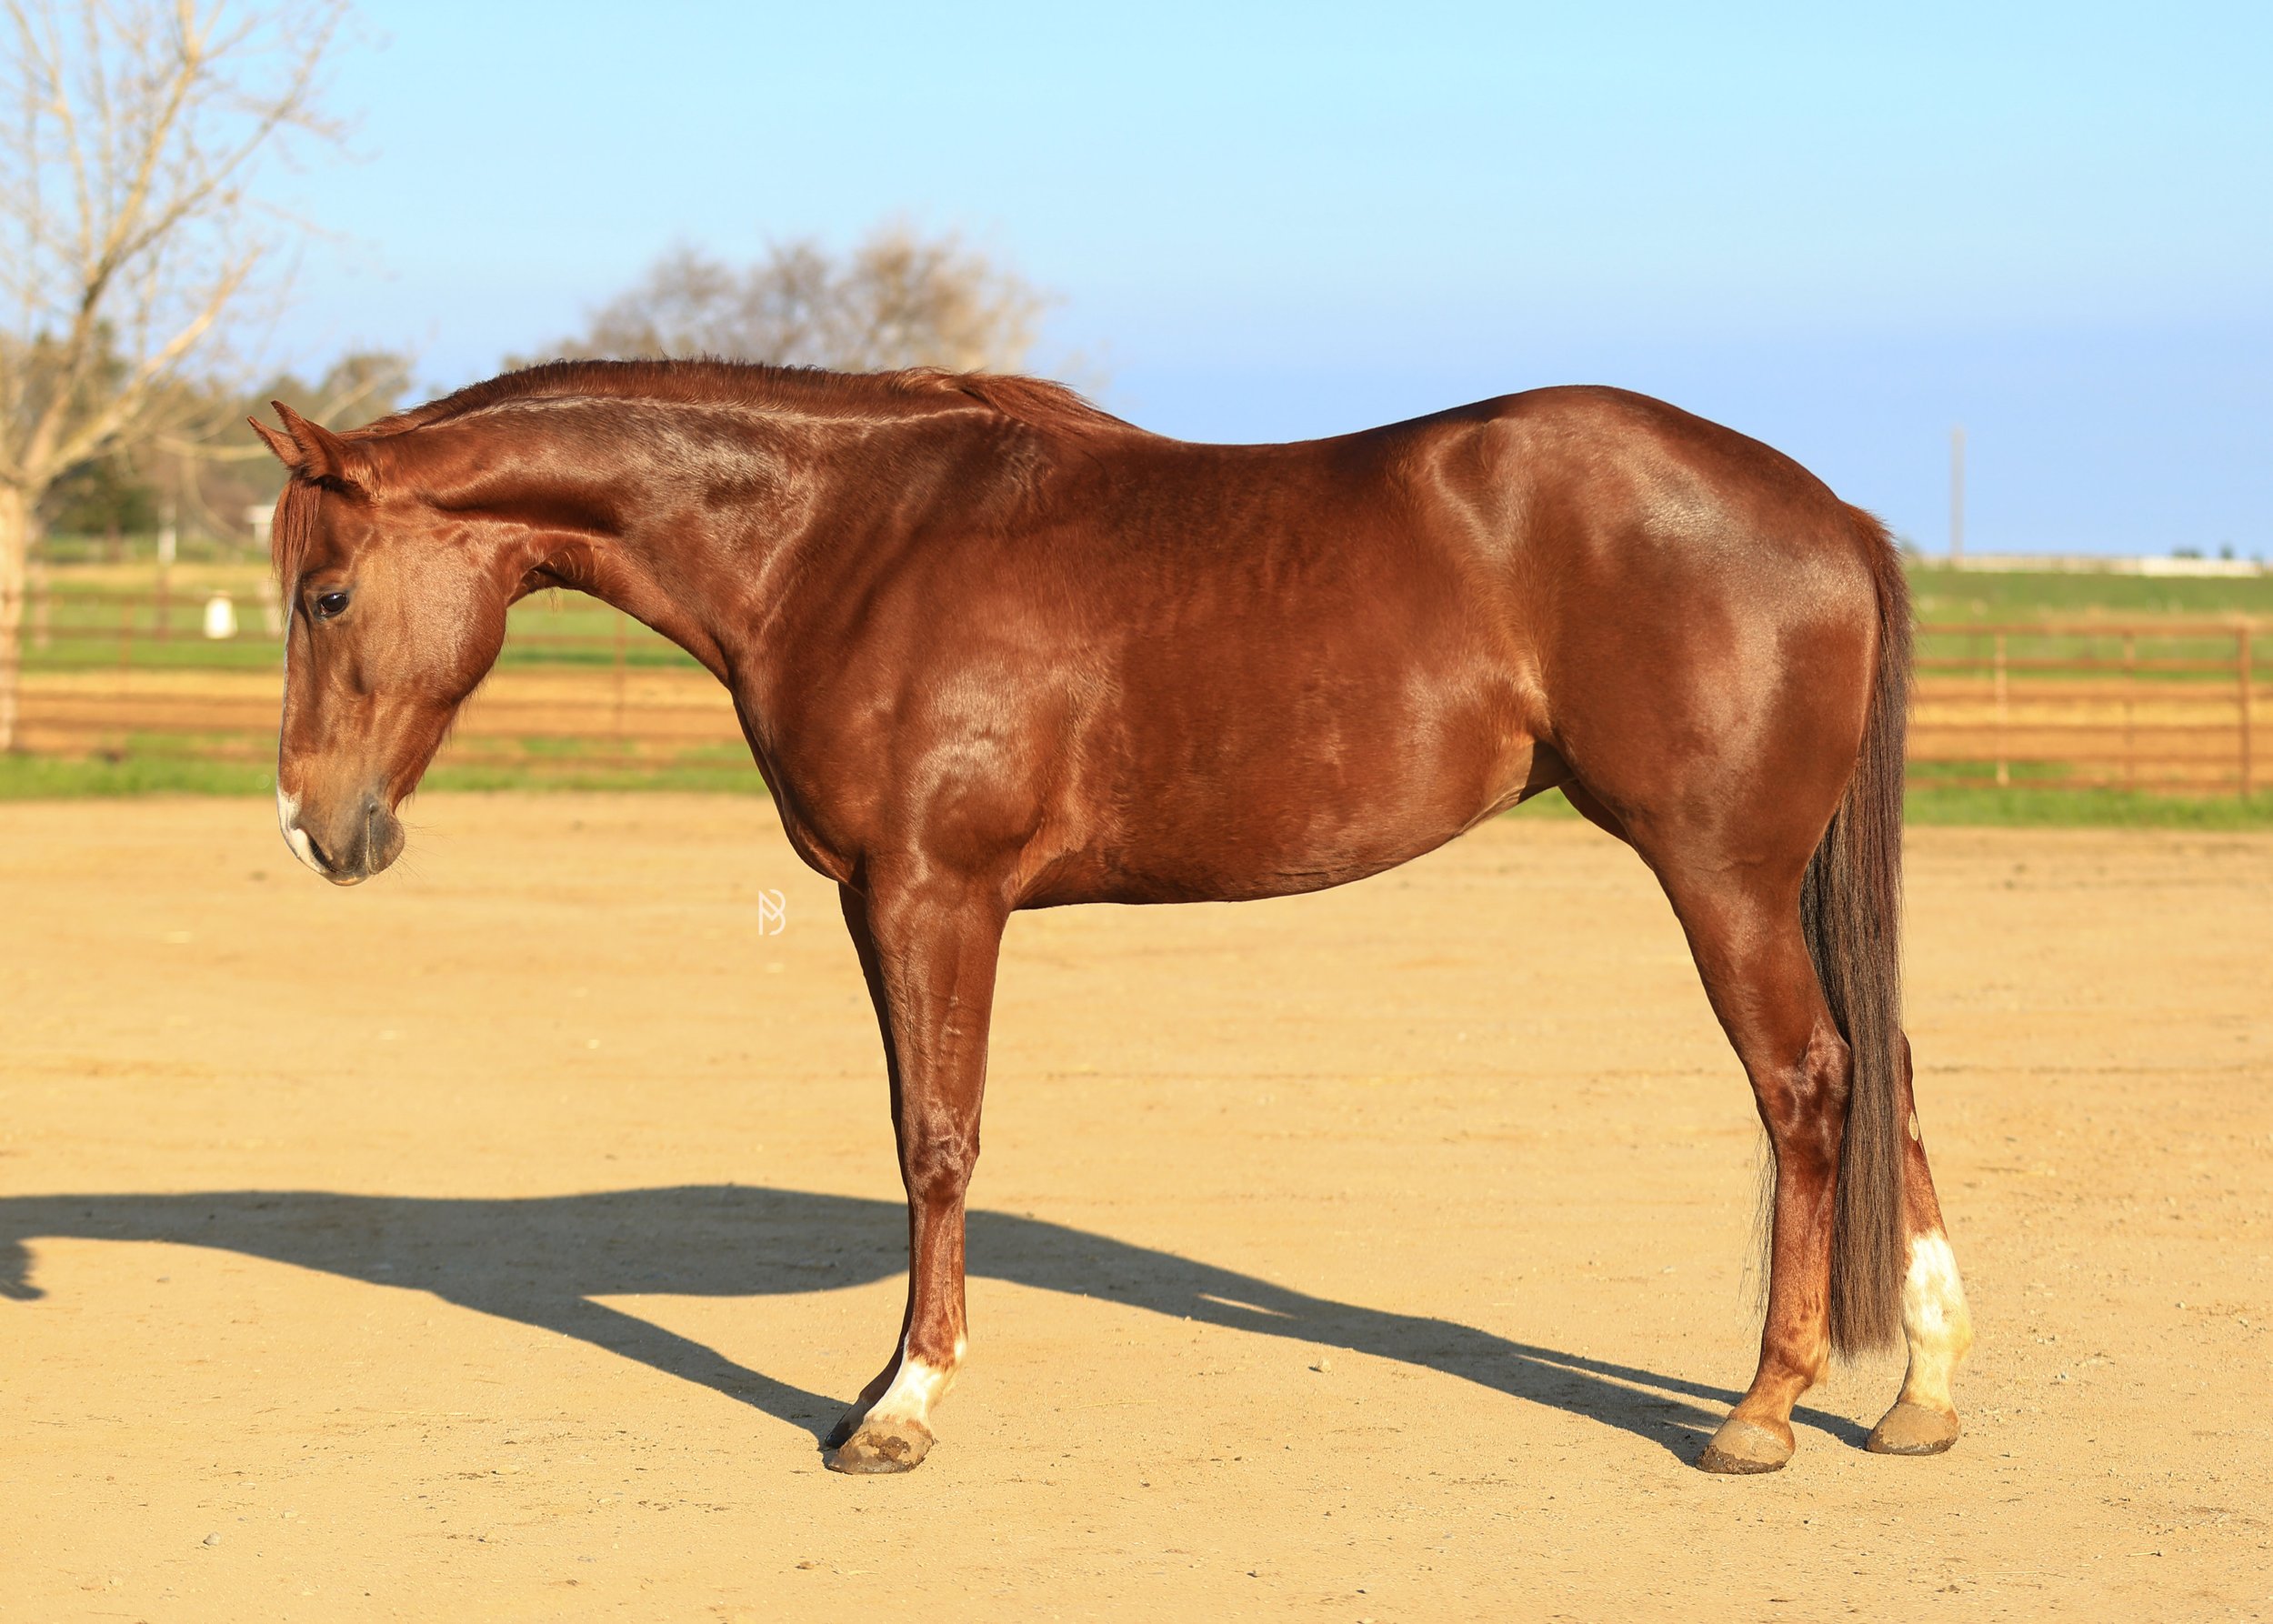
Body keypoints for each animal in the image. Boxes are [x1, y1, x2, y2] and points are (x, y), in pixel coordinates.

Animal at [251, 360, 1972, 1477]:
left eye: (323, 593)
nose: (316, 827)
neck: (843, 538)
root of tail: (1827, 511)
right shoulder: (891, 901)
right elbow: (918, 1130)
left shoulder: (931, 894)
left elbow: (935, 1139)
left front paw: (901, 1405)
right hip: (1776, 881)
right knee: (1884, 1076)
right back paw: (1921, 1395)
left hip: (1718, 873)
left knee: (1810, 1086)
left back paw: (1762, 1411)